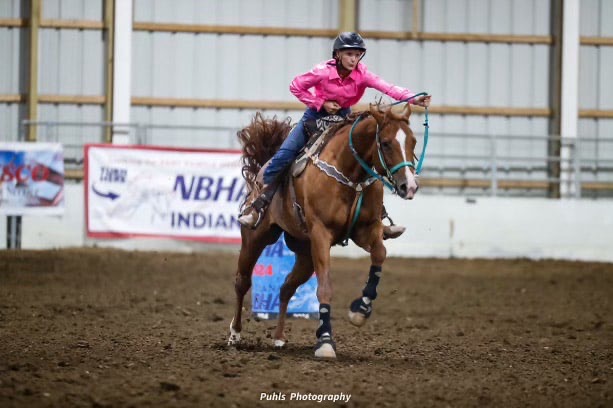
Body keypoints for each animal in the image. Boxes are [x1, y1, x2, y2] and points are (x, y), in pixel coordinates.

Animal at [230, 102, 420, 356]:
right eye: (387, 143)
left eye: (413, 142)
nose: (410, 186)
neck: (351, 174)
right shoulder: (321, 234)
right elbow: (325, 288)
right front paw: (326, 341)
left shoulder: (366, 230)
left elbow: (380, 254)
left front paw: (360, 310)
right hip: (256, 238)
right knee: (242, 281)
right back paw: (235, 334)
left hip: (305, 253)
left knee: (286, 288)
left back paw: (279, 337)